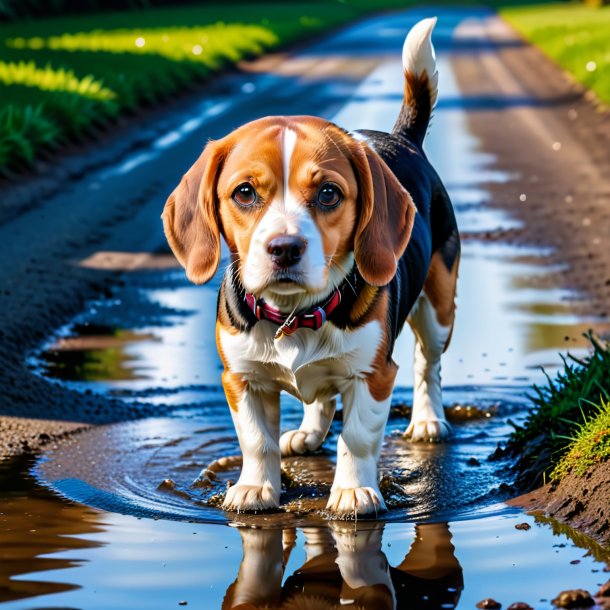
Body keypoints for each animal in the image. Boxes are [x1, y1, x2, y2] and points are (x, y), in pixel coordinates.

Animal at [162, 17, 456, 512]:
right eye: (244, 192)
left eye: (329, 194)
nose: (284, 248)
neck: (295, 313)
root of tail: (400, 139)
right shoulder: (241, 378)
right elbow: (256, 440)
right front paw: (254, 486)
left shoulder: (373, 375)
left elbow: (357, 437)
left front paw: (353, 490)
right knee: (319, 396)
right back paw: (306, 433)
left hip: (439, 308)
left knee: (427, 365)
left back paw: (428, 420)